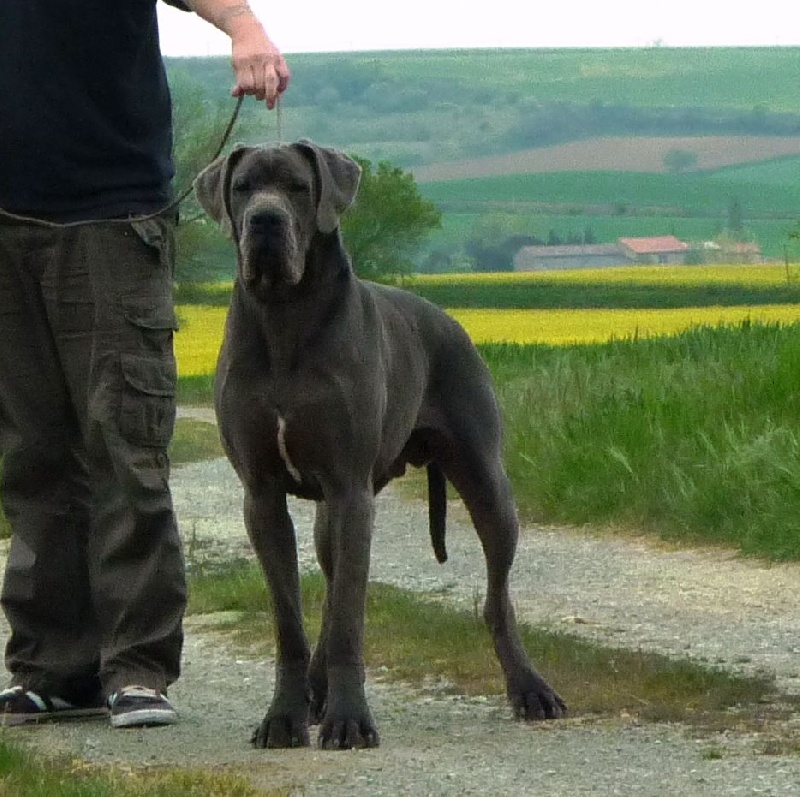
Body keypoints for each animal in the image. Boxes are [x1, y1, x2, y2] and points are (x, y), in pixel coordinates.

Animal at [196, 141, 564, 748]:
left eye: (298, 186)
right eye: (243, 187)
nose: (265, 221)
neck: (284, 317)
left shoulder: (349, 489)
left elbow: (349, 616)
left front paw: (349, 718)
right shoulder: (263, 495)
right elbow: (291, 619)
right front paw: (284, 715)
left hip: (486, 483)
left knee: (497, 599)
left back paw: (530, 688)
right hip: (334, 510)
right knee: (329, 585)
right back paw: (314, 693)